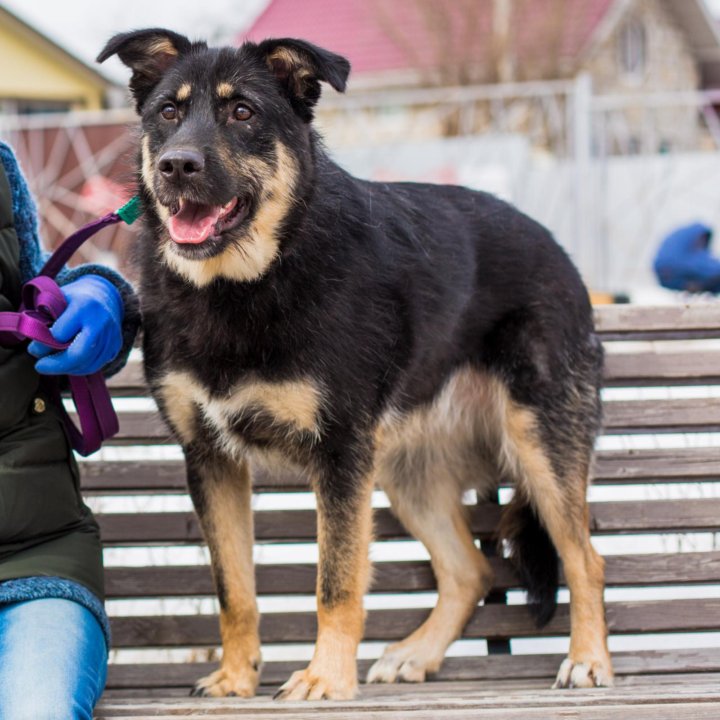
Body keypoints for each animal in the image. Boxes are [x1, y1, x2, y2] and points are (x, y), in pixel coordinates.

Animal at [95, 31, 612, 700]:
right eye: (167, 112)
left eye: (243, 113)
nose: (177, 166)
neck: (246, 281)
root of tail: (561, 254)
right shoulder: (211, 462)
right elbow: (233, 588)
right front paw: (237, 677)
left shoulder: (340, 456)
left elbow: (335, 582)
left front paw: (324, 678)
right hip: (406, 472)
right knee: (470, 570)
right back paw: (417, 654)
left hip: (538, 442)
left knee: (584, 558)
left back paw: (589, 659)